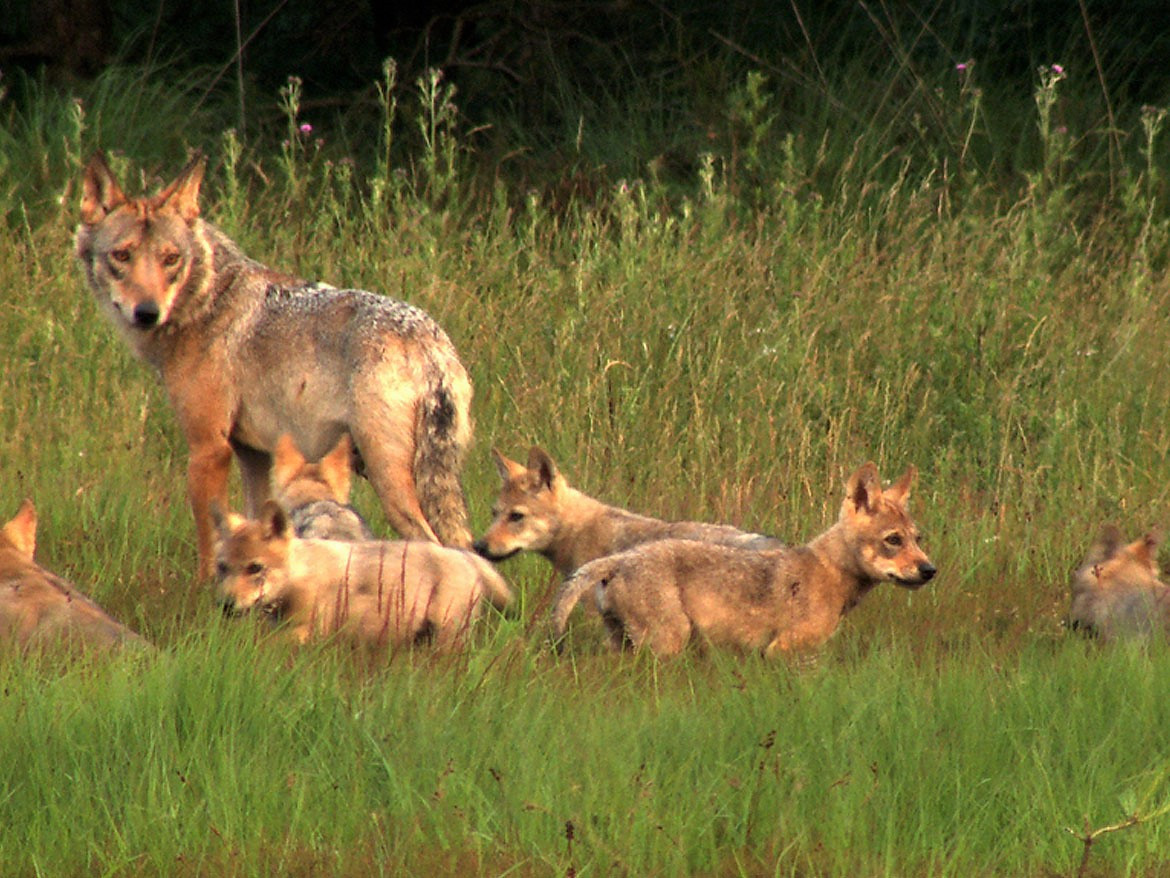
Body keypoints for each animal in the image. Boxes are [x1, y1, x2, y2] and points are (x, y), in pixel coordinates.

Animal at [76, 152, 475, 580]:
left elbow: (208, 545)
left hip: (390, 482)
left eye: (171, 259)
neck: (204, 303)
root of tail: (429, 341)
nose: (147, 313)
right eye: (122, 256)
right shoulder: (254, 454)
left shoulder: (208, 449)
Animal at [214, 498, 512, 650]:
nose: (225, 605)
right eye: (222, 567)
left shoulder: (309, 632)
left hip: (447, 637)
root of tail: (467, 558)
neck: (300, 577)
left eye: (255, 568)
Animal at [547, 463, 931, 655]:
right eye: (893, 540)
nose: (930, 570)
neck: (829, 575)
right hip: (668, 644)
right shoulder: (784, 651)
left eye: (918, 539)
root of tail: (620, 559)